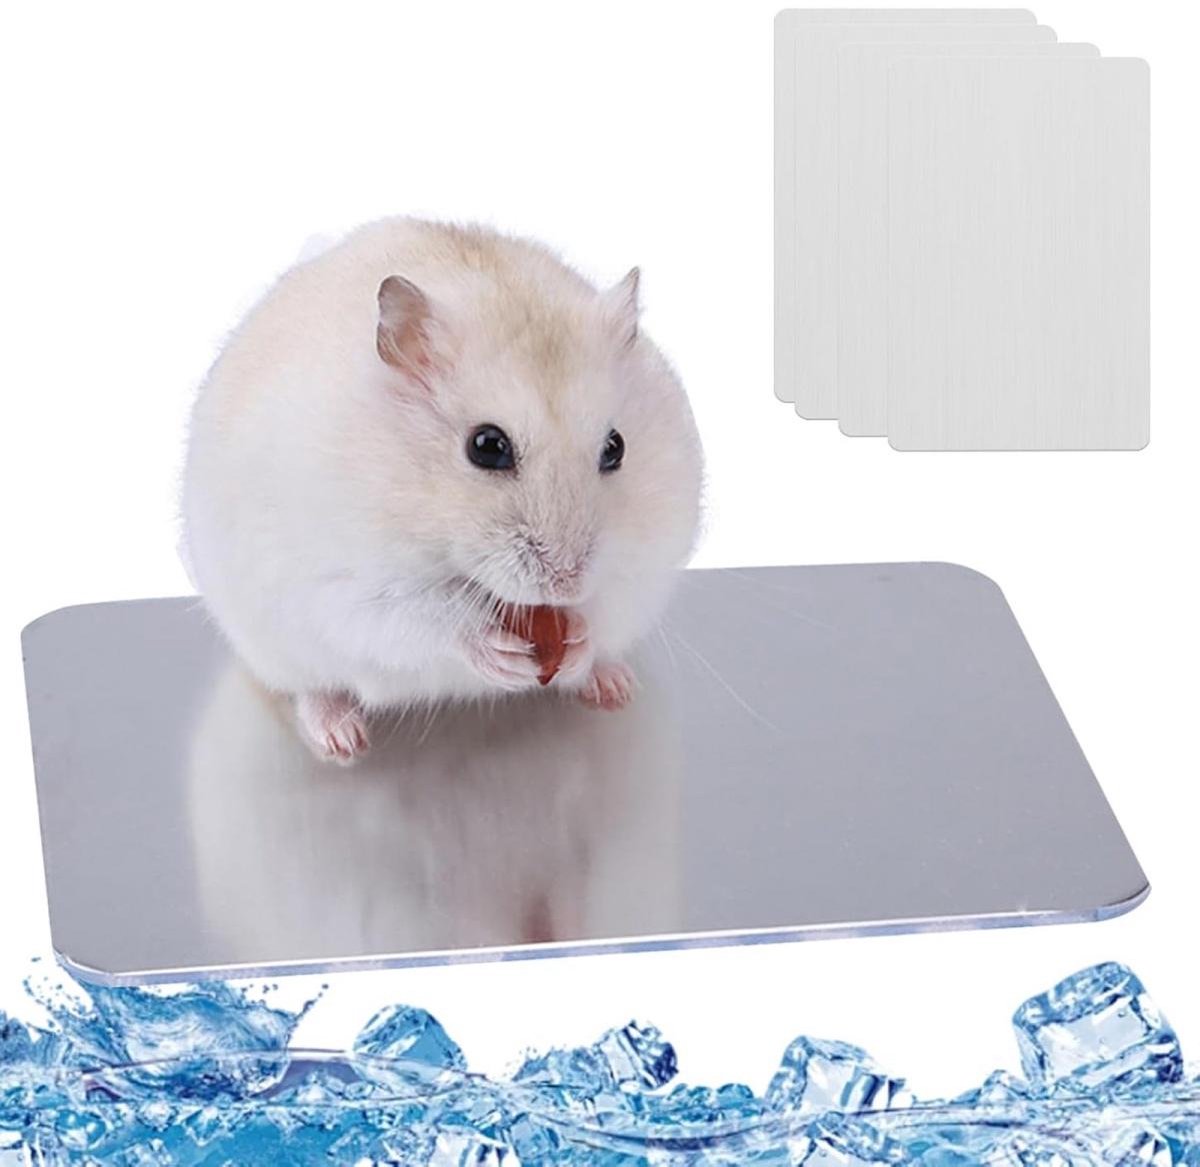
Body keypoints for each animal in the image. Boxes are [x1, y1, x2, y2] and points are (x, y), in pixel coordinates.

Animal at [182, 217, 704, 763]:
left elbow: (606, 604)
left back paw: (613, 686)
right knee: (313, 688)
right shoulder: (346, 584)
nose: (567, 582)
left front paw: (580, 639)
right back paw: (341, 739)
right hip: (278, 646)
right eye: (487, 446)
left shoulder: (642, 566)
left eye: (615, 448)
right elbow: (423, 616)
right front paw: (501, 652)